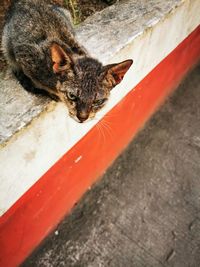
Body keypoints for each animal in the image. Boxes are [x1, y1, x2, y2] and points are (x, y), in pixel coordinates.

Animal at [2, 0, 133, 123]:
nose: (83, 118)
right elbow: (38, 81)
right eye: (72, 96)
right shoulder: (24, 55)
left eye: (97, 101)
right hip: (6, 41)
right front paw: (50, 92)